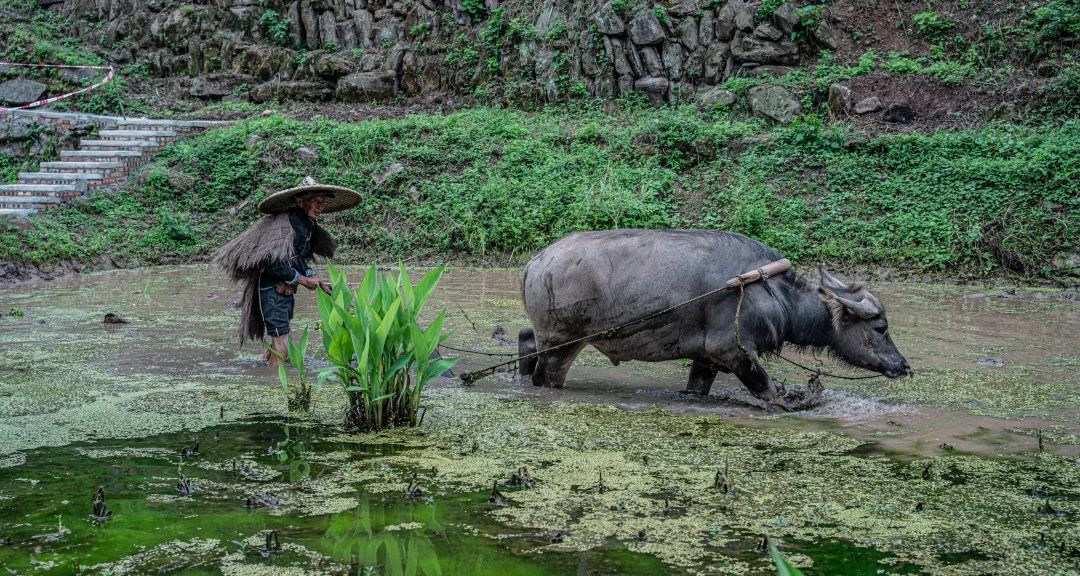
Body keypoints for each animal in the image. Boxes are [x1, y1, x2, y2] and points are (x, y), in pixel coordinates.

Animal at [518, 226, 907, 402]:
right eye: (881, 327)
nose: (903, 365)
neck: (773, 293)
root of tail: (536, 263)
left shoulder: (706, 359)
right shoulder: (734, 351)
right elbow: (768, 390)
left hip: (547, 338)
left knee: (524, 339)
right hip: (562, 345)